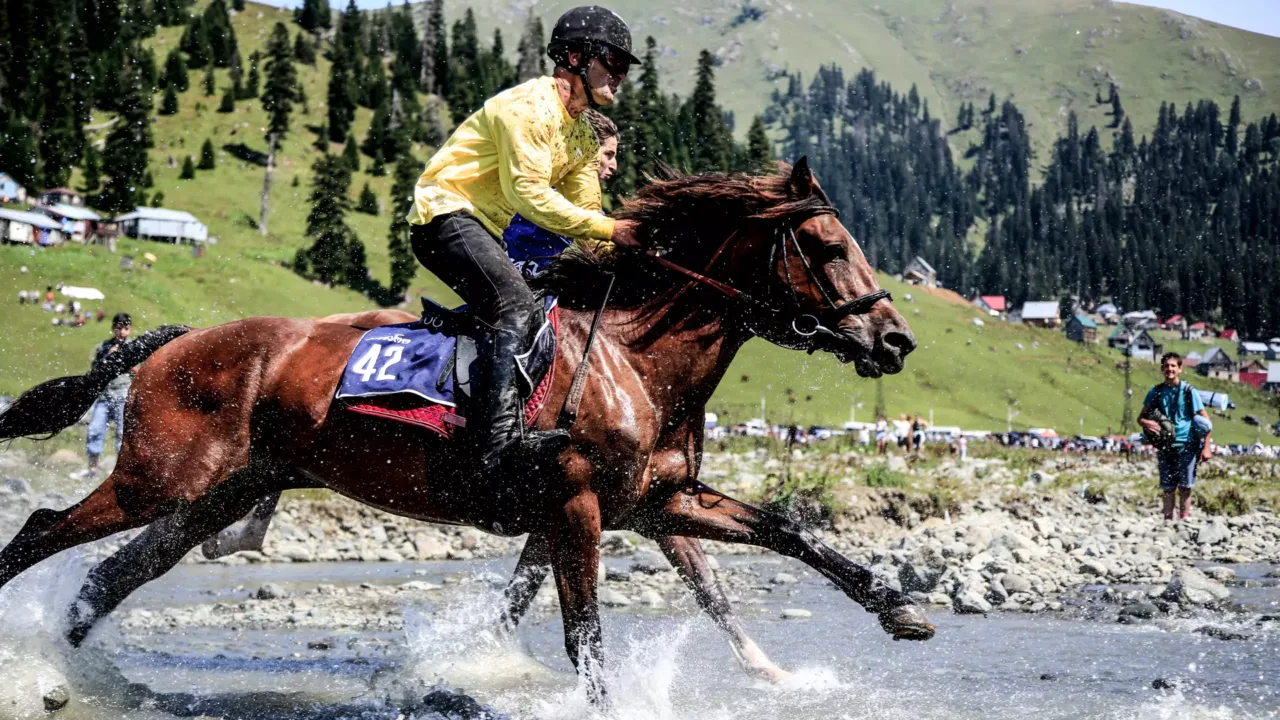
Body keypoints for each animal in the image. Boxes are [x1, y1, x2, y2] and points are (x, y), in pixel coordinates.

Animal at [2, 158, 942, 696]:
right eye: (828, 247)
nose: (896, 340)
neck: (636, 360)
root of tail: (173, 342)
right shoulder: (577, 508)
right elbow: (585, 635)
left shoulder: (659, 501)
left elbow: (785, 534)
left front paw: (896, 606)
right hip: (158, 477)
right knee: (46, 529)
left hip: (221, 492)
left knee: (114, 575)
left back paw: (67, 667)